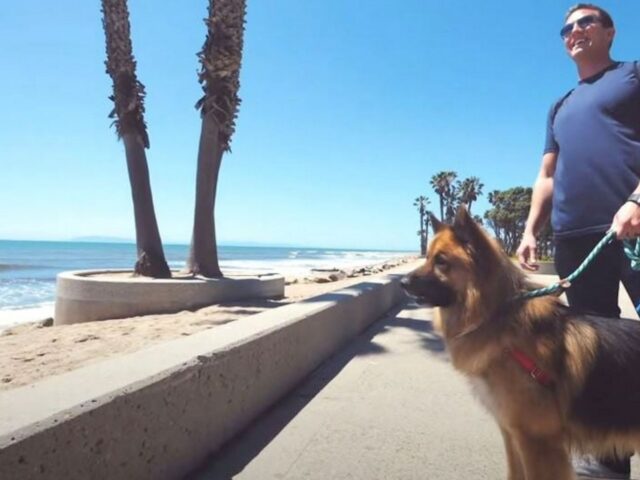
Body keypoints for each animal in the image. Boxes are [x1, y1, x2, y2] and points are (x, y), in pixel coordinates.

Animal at [402, 207, 640, 480]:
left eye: (441, 261)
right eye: (428, 256)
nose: (402, 283)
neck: (494, 316)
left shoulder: (536, 441)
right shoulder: (511, 433)